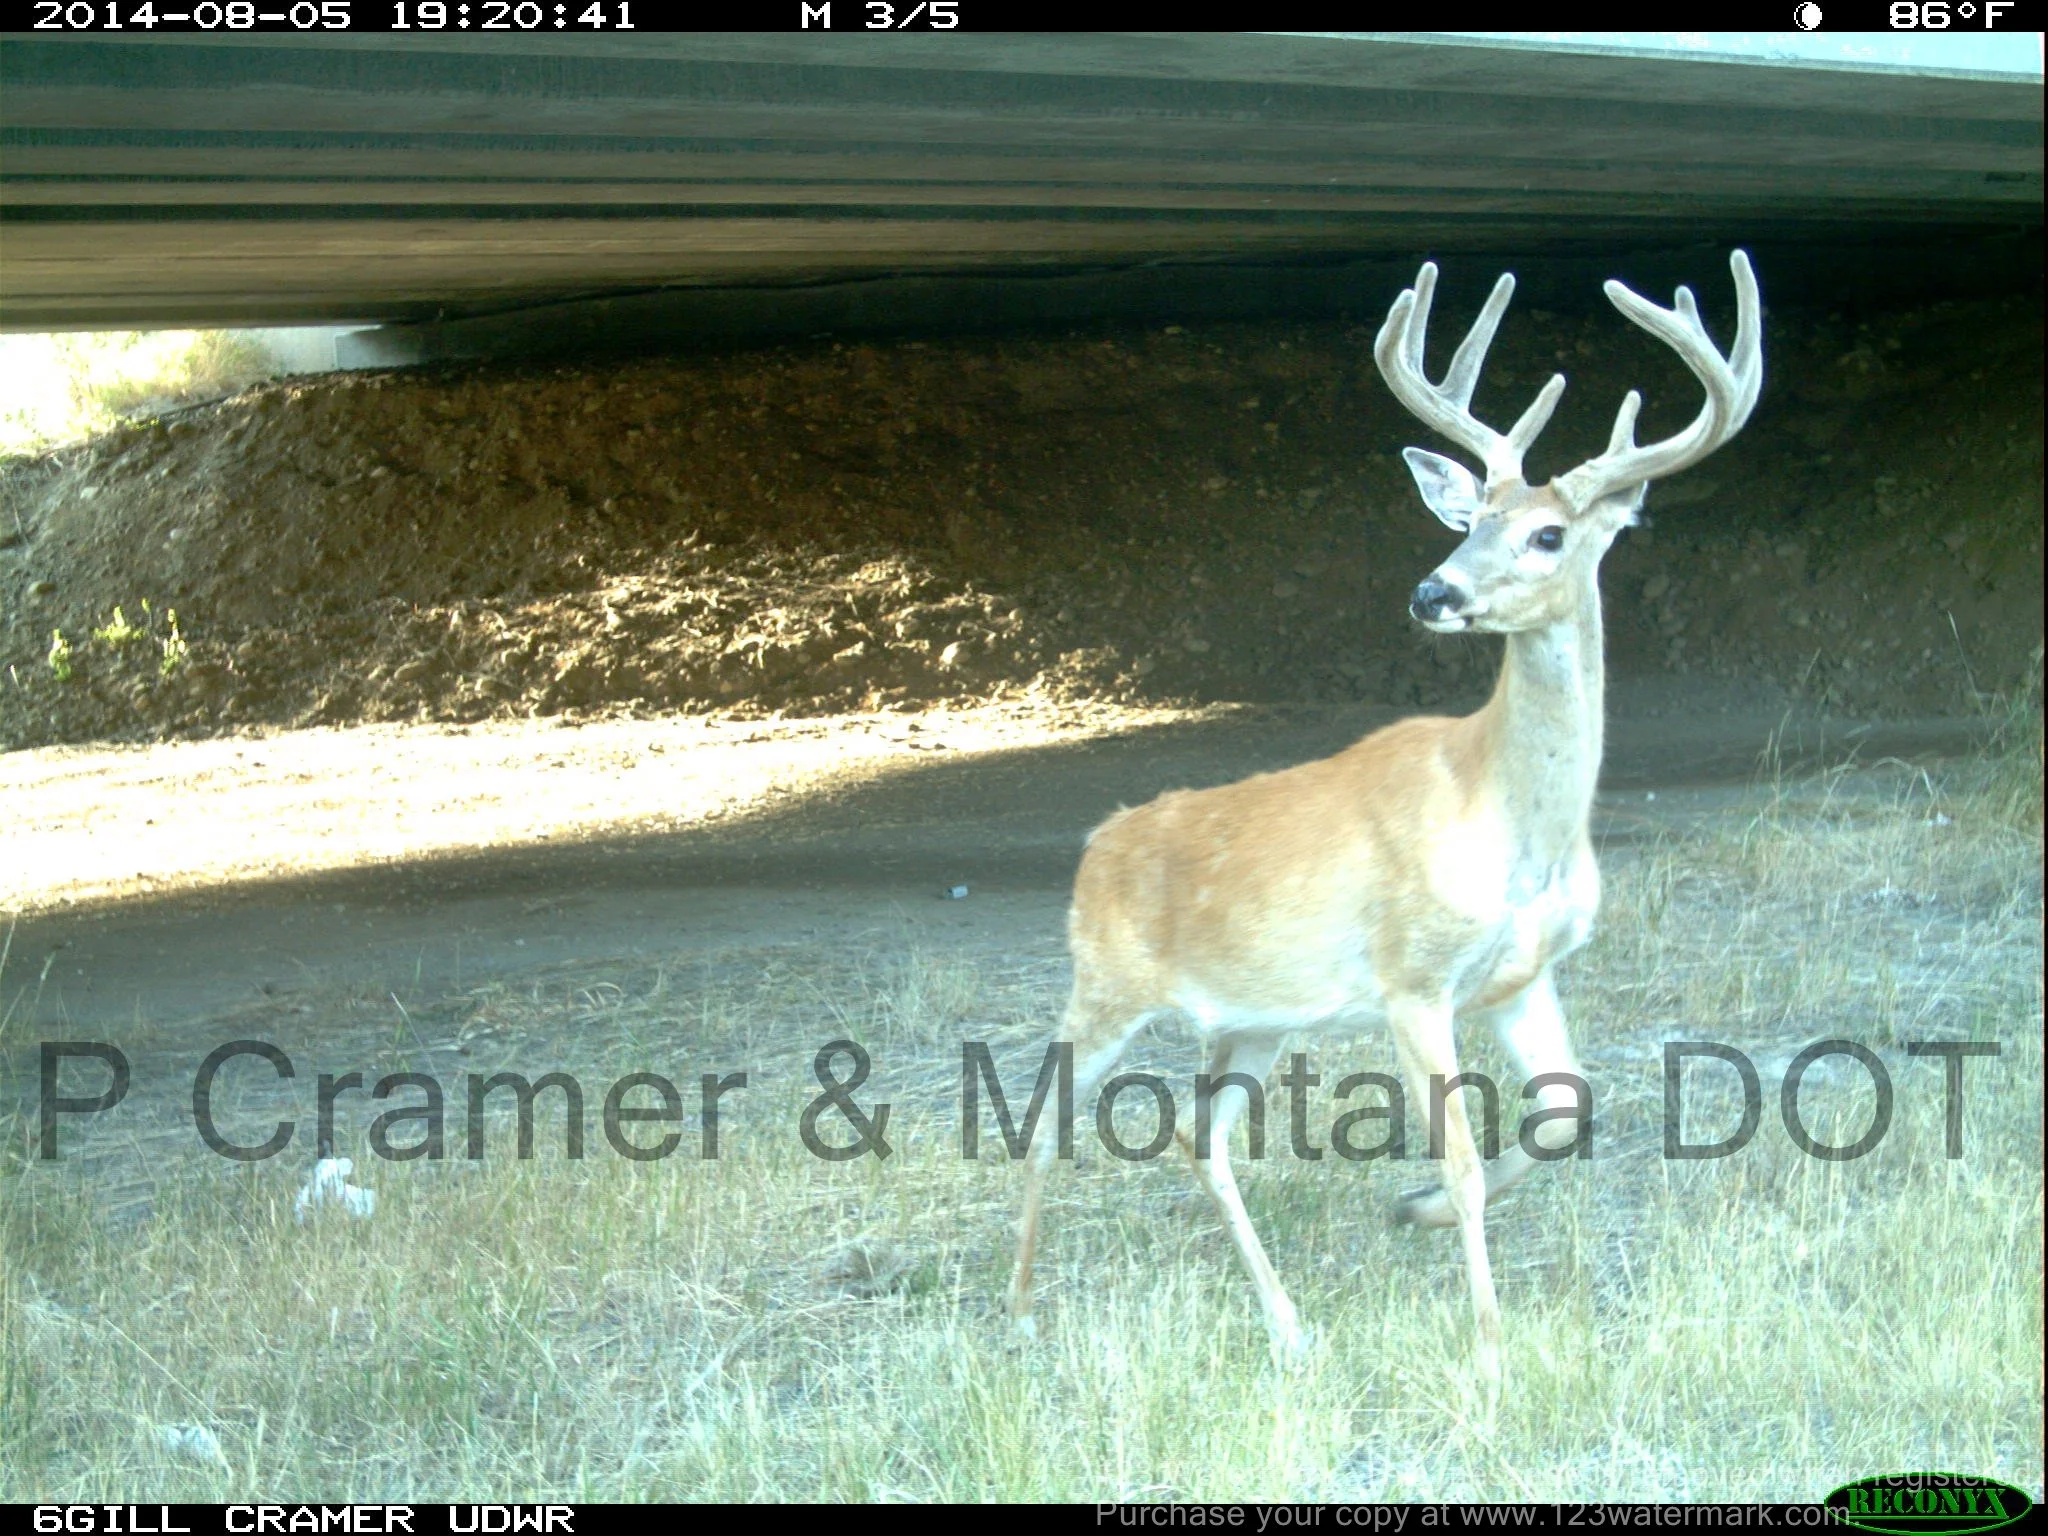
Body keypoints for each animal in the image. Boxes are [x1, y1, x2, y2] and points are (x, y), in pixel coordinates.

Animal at [1006, 250, 1762, 1393]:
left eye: (1546, 532)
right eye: (1466, 520)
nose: (1430, 592)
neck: (1516, 825)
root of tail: (1098, 843)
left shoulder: (1523, 975)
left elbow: (1569, 1108)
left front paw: (1411, 1210)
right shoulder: (1413, 976)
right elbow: (1463, 1151)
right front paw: (1488, 1347)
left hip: (1256, 1020)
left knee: (1198, 1135)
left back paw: (1286, 1326)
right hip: (1107, 983)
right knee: (1047, 1114)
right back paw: (1012, 1309)